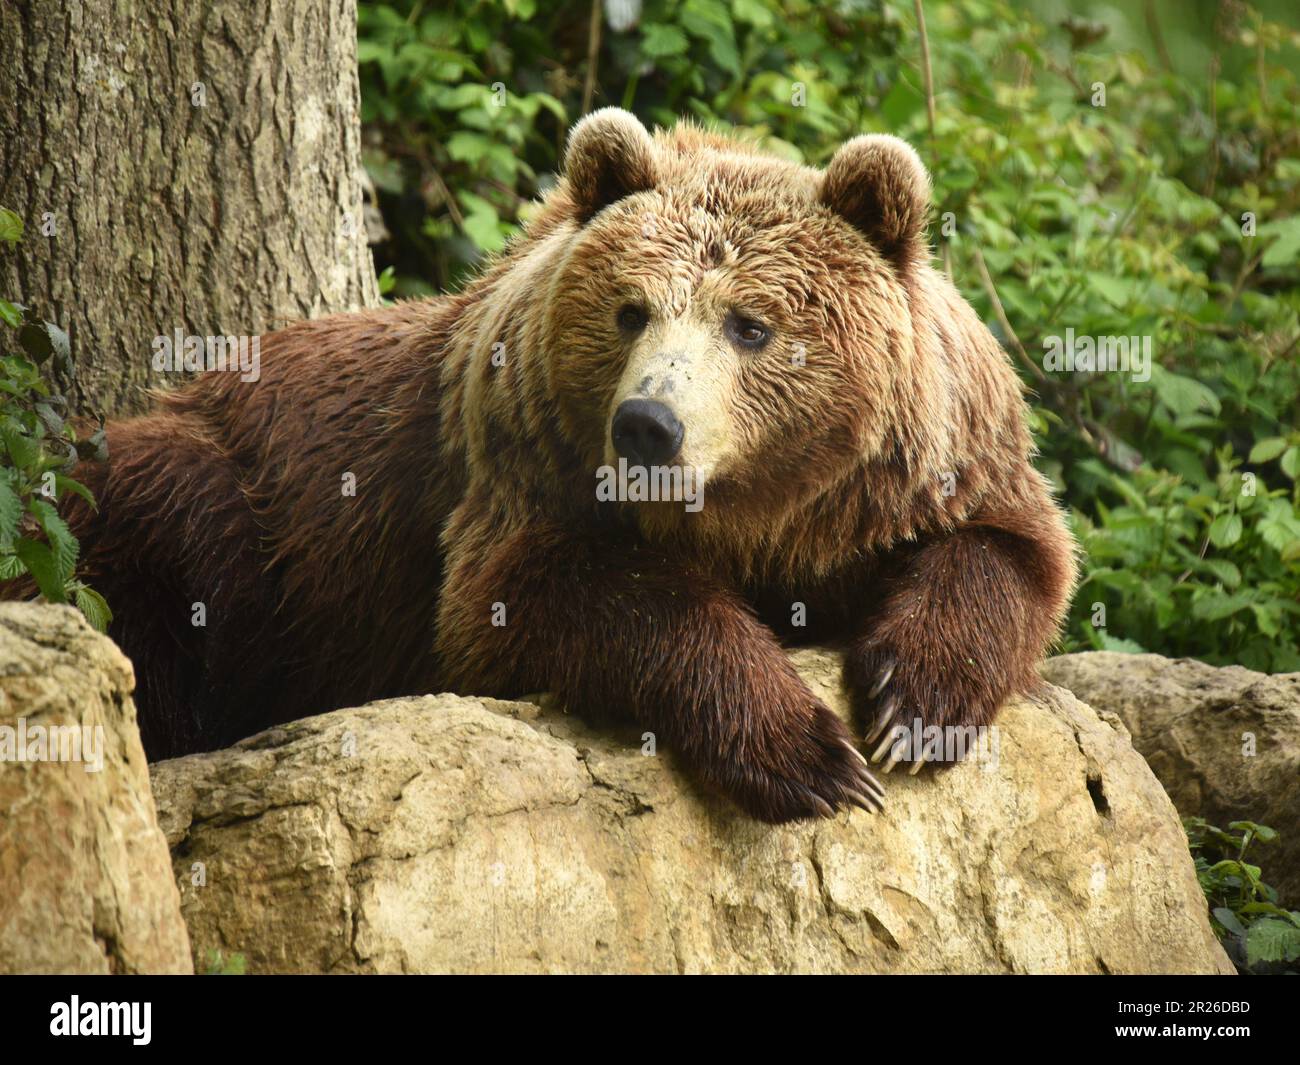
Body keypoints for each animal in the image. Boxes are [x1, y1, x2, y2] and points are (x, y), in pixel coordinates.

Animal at [58, 110, 1076, 827]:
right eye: (631, 310)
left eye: (749, 324)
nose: (648, 425)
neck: (755, 514)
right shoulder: (523, 473)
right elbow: (560, 597)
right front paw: (811, 755)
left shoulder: (922, 469)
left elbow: (1012, 553)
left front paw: (914, 704)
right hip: (221, 493)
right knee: (167, 540)